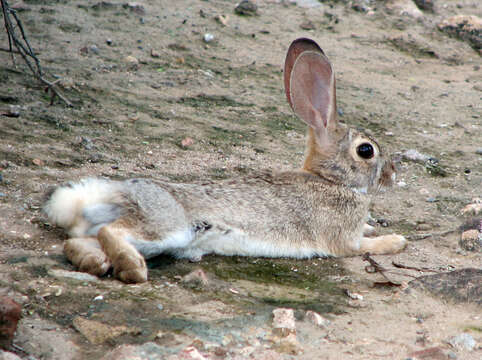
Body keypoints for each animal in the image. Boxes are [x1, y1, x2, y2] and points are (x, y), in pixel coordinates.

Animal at [44, 38, 406, 282]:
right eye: (366, 150)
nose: (391, 173)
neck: (330, 179)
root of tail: (107, 194)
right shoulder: (342, 240)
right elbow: (366, 246)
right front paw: (396, 240)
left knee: (77, 242)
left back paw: (96, 263)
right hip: (168, 226)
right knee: (111, 231)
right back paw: (131, 268)